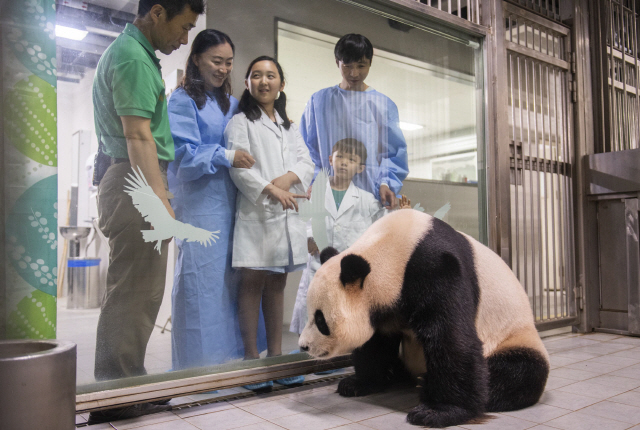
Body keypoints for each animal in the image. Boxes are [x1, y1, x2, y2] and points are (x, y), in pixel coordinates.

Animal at [300, 208, 552, 426]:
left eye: (320, 320)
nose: (304, 346)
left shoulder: (436, 269)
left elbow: (451, 338)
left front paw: (438, 412)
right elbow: (375, 344)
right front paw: (358, 383)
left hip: (514, 336)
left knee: (520, 371)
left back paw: (427, 384)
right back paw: (398, 375)